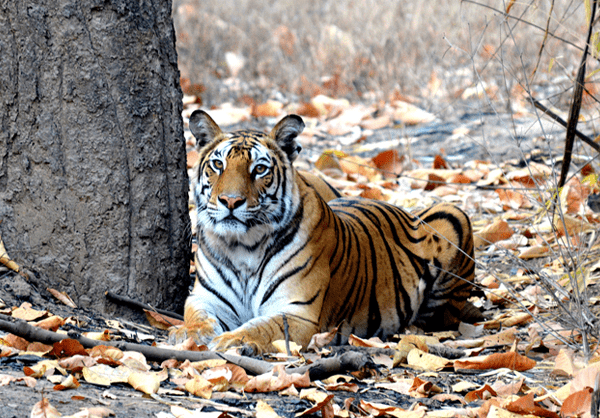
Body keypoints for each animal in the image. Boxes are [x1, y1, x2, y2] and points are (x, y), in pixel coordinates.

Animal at [170, 110, 482, 352]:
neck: (242, 246)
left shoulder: (297, 312)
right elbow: (197, 316)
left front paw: (232, 340)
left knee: (441, 316)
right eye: (218, 164)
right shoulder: (205, 298)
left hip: (453, 216)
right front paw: (188, 333)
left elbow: (260, 328)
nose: (230, 201)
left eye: (259, 169)